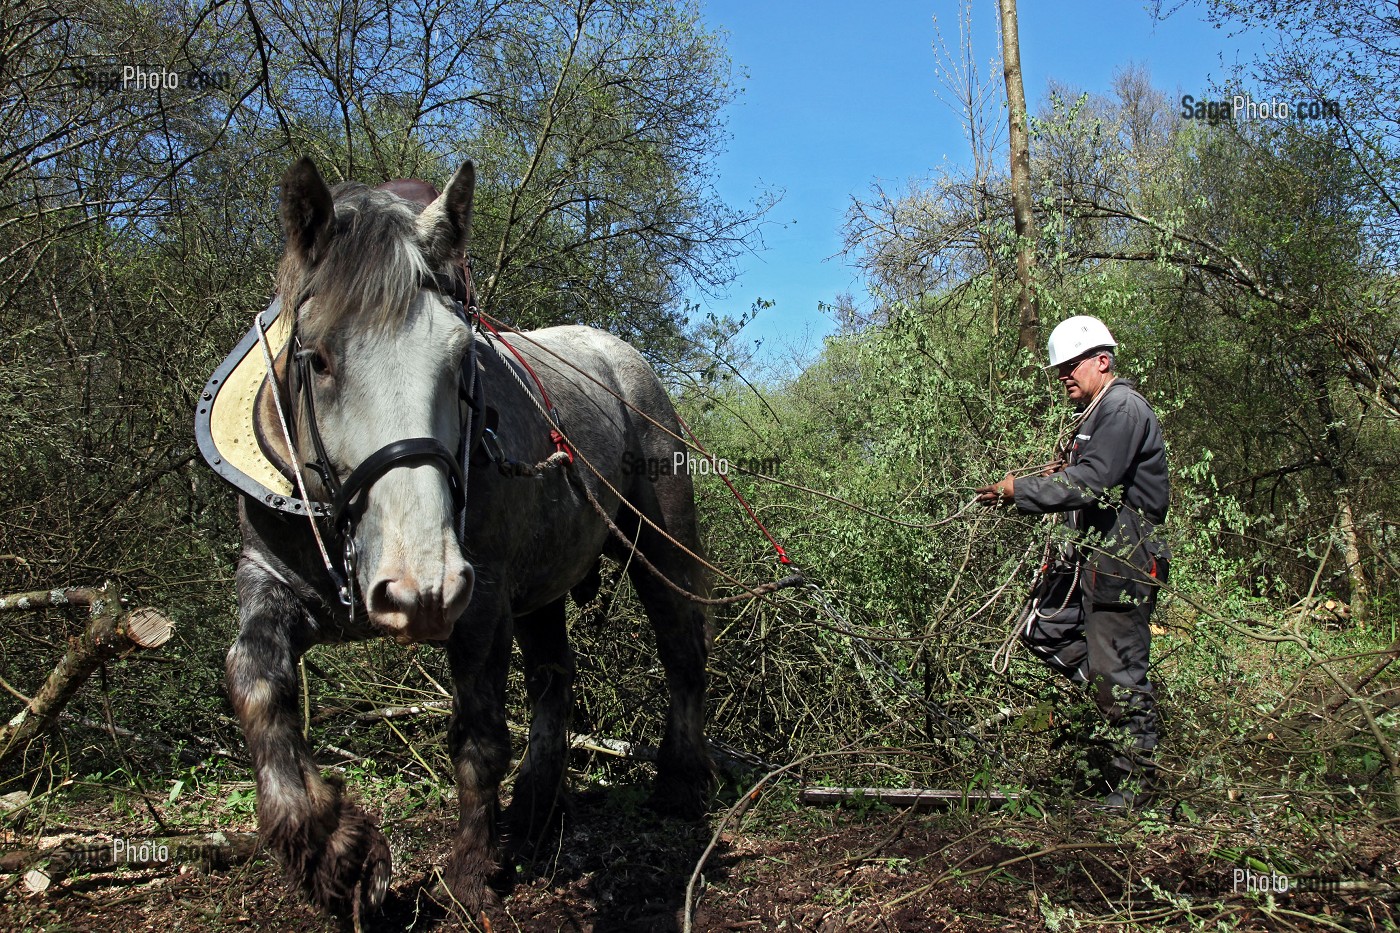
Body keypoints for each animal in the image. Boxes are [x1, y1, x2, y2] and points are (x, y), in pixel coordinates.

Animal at [217, 157, 714, 916]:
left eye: (458, 363)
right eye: (319, 358)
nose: (416, 587)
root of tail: (621, 356)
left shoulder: (479, 601)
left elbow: (478, 738)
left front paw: (473, 870)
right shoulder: (269, 578)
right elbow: (255, 680)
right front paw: (334, 852)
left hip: (658, 541)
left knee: (681, 645)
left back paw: (679, 784)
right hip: (541, 586)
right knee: (553, 678)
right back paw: (536, 810)